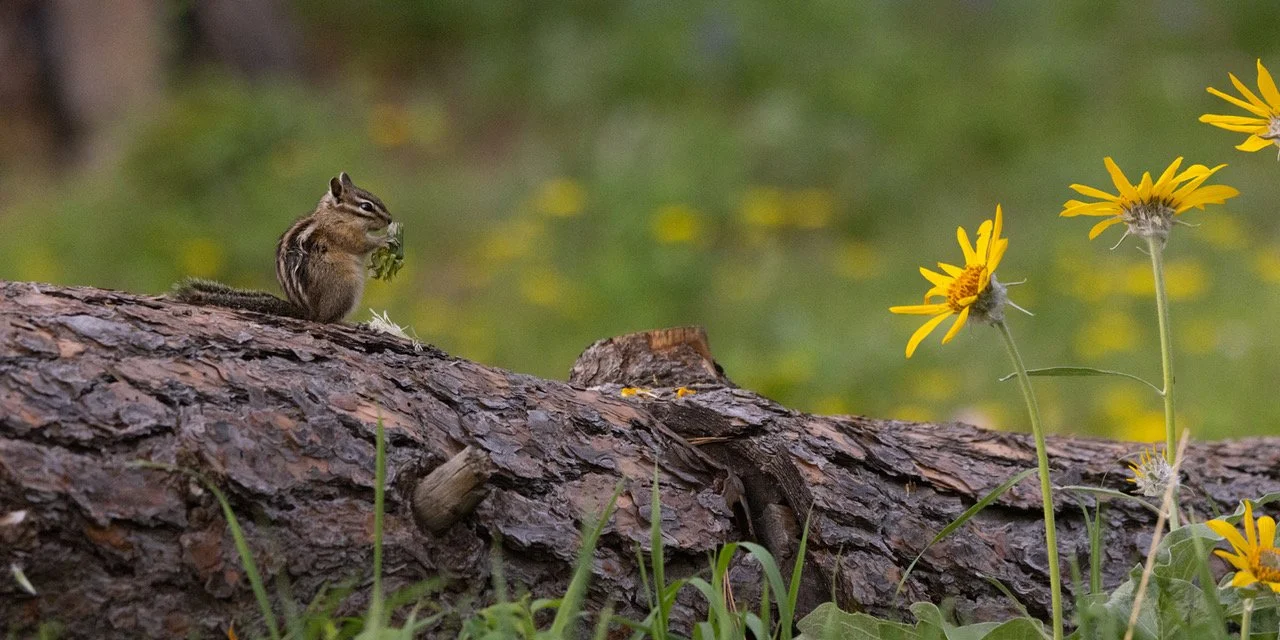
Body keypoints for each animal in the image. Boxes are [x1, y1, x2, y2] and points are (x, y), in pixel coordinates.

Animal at [172, 172, 393, 324]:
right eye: (366, 206)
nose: (390, 219)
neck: (335, 215)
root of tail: (305, 310)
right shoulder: (342, 233)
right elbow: (360, 244)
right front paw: (385, 240)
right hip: (346, 284)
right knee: (325, 319)